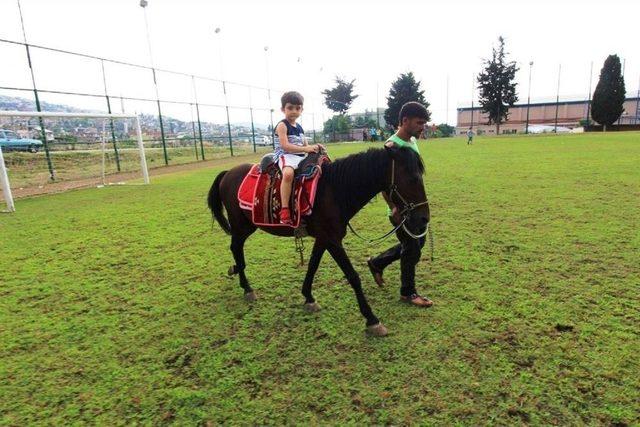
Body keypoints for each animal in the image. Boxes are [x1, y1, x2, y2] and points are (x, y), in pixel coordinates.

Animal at [210, 147, 430, 338]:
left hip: (246, 226)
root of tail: (228, 173)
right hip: (240, 226)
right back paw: (246, 287)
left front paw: (308, 297)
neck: (334, 190)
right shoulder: (332, 240)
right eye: (413, 178)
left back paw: (238, 275)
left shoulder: (323, 238)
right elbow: (353, 276)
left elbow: (313, 265)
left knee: (236, 249)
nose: (423, 219)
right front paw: (372, 320)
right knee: (235, 248)